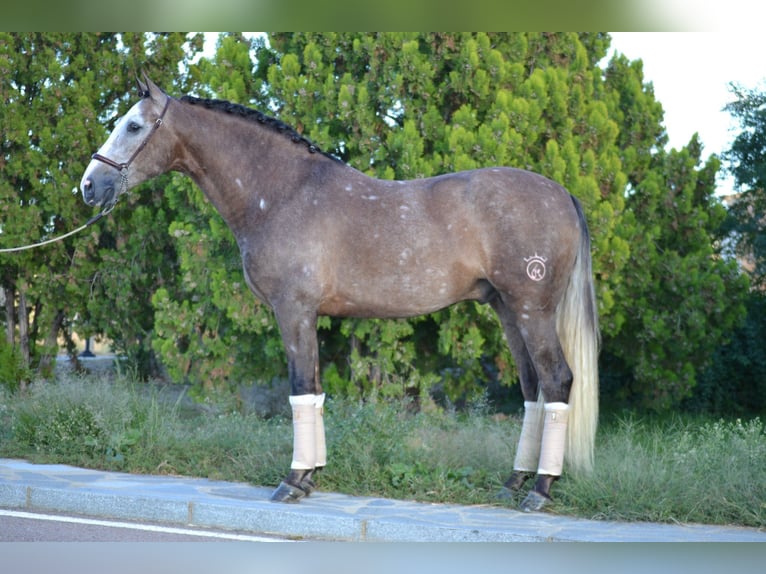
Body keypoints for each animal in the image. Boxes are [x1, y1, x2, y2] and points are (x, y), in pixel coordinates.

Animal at [80, 76, 599, 512]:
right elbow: (312, 390)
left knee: (557, 381)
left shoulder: (292, 310)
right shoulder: (307, 315)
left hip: (532, 311)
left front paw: (292, 482)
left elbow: (299, 388)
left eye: (133, 125)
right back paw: (513, 482)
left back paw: (539, 491)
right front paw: (311, 477)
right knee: (533, 388)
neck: (283, 192)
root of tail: (562, 194)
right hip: (508, 311)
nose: (88, 186)